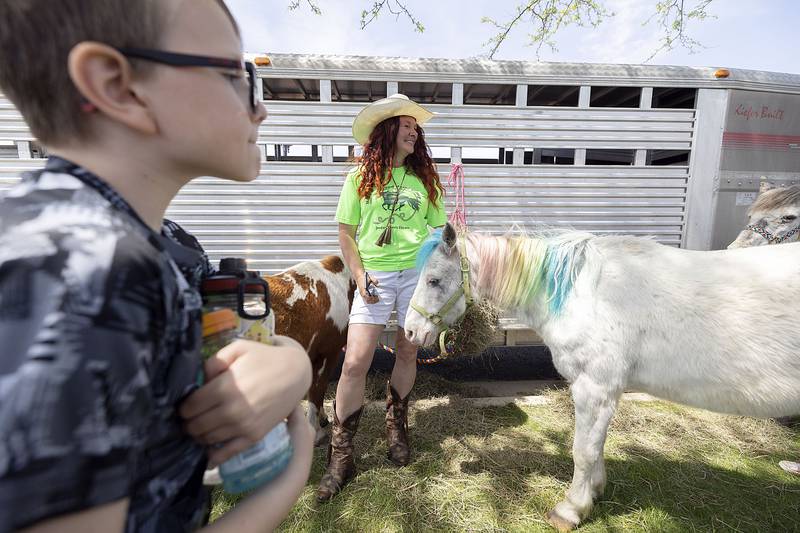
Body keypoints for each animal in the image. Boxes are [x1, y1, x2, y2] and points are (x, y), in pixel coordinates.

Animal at [406, 222, 800, 528]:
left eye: (434, 280)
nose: (410, 331)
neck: (586, 293)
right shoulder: (604, 392)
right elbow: (596, 446)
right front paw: (594, 491)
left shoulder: (594, 388)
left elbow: (583, 450)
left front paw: (570, 509)